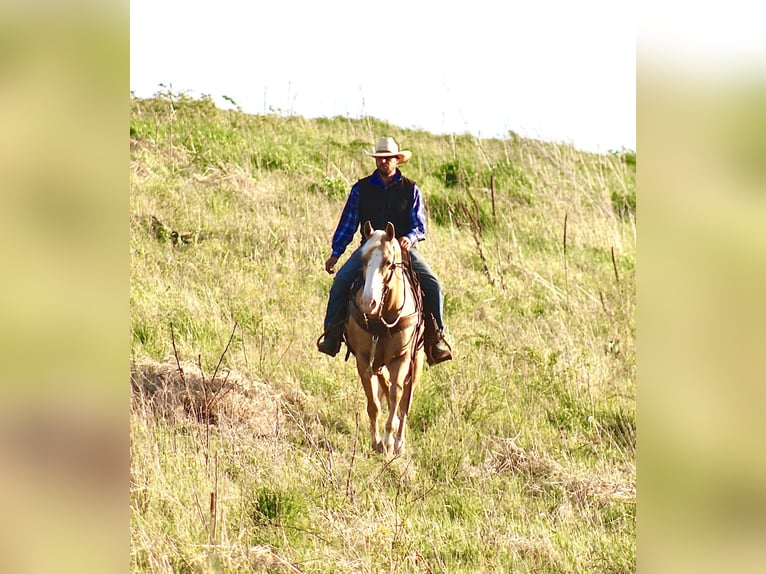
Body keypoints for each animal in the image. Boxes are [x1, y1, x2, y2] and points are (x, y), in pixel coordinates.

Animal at [345, 221, 425, 456]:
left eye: (388, 262)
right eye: (363, 259)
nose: (367, 303)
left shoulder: (401, 359)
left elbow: (397, 395)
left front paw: (389, 442)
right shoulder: (363, 359)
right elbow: (374, 404)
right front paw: (376, 442)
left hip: (417, 362)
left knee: (405, 400)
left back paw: (399, 441)